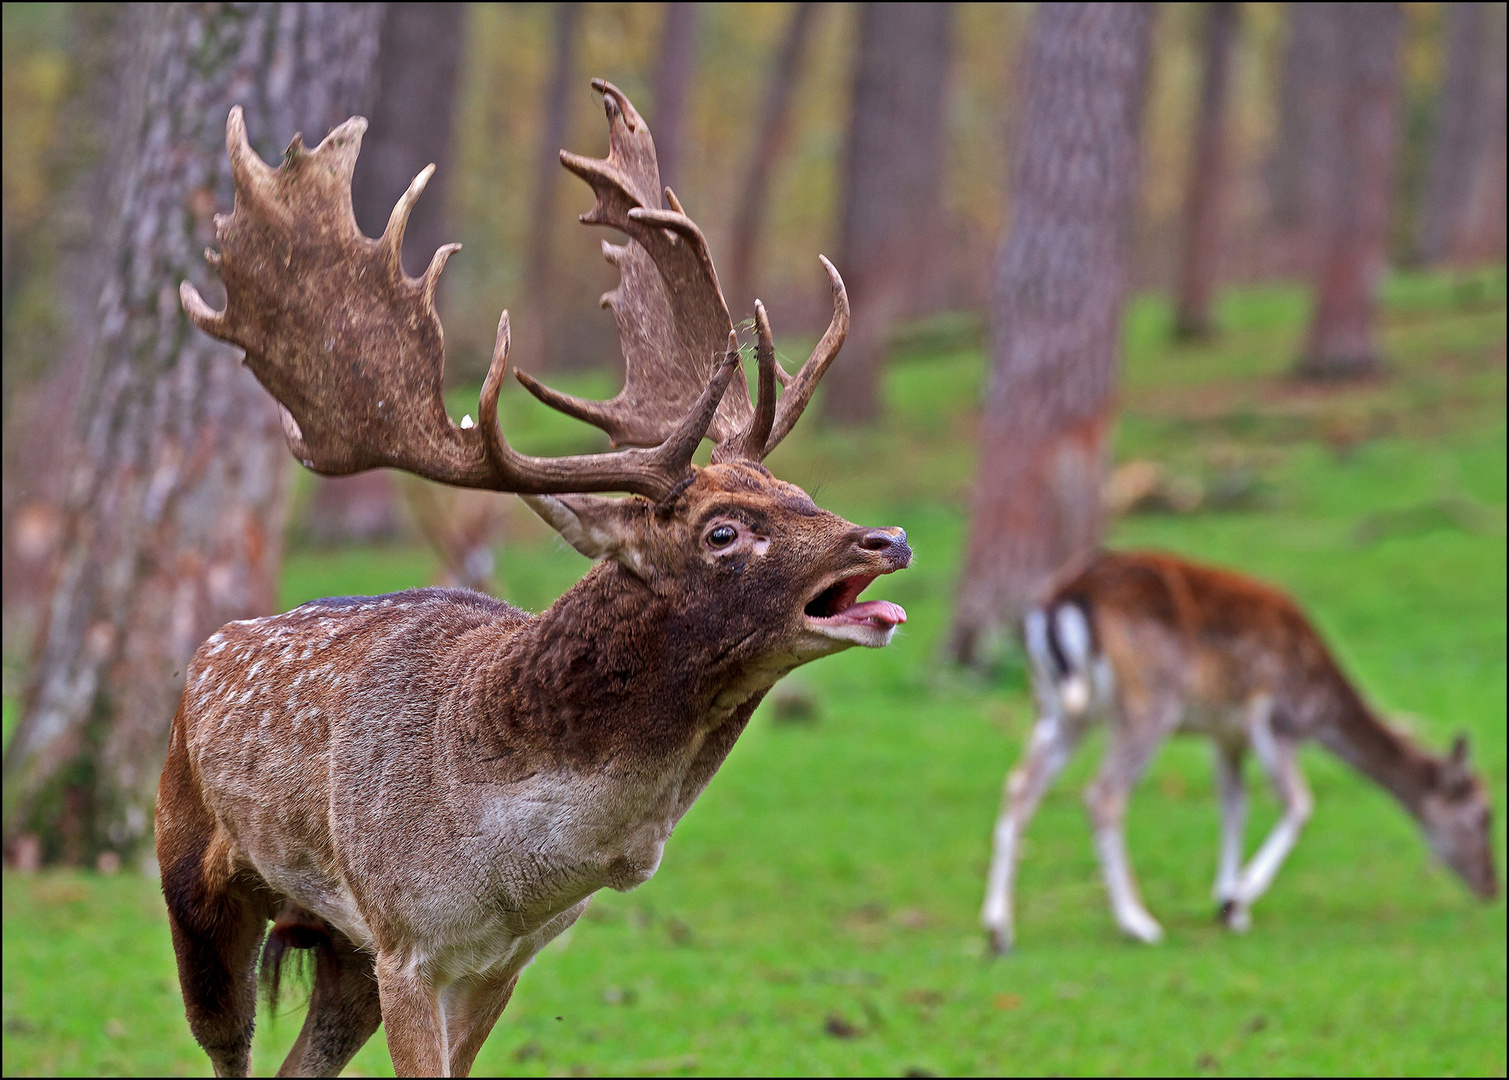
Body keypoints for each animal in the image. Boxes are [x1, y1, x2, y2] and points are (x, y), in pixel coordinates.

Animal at [159, 80, 905, 1073]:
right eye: (722, 531)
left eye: (799, 491)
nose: (885, 540)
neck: (509, 854)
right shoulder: (406, 940)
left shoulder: (496, 960)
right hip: (196, 880)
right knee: (227, 1046)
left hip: (339, 952)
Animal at [983, 552, 1490, 947]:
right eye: (1484, 814)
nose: (1493, 889)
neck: (1322, 707)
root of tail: (1061, 600)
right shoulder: (1273, 717)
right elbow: (1299, 803)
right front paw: (1236, 898)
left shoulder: (1224, 734)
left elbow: (1234, 805)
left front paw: (1230, 909)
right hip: (1150, 702)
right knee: (1103, 794)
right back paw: (1138, 924)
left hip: (1058, 709)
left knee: (1019, 786)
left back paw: (998, 929)